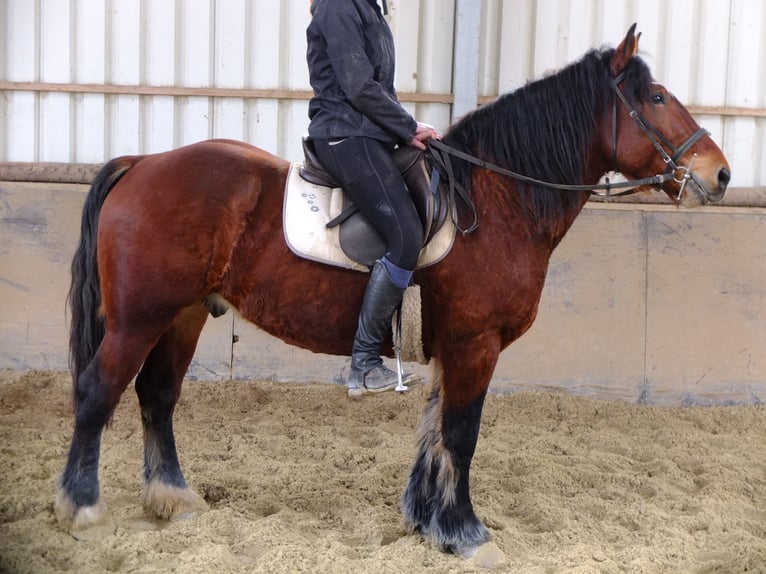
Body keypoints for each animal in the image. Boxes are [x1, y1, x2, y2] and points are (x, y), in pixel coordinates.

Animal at [55, 27, 732, 560]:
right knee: (97, 391)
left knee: (157, 396)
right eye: (656, 97)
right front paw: (467, 533)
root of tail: (144, 162)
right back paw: (82, 508)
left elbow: (434, 430)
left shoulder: (454, 346)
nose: (719, 174)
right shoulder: (475, 343)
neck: (497, 200)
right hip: (139, 319)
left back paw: (172, 497)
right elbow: (461, 433)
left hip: (184, 316)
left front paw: (428, 521)